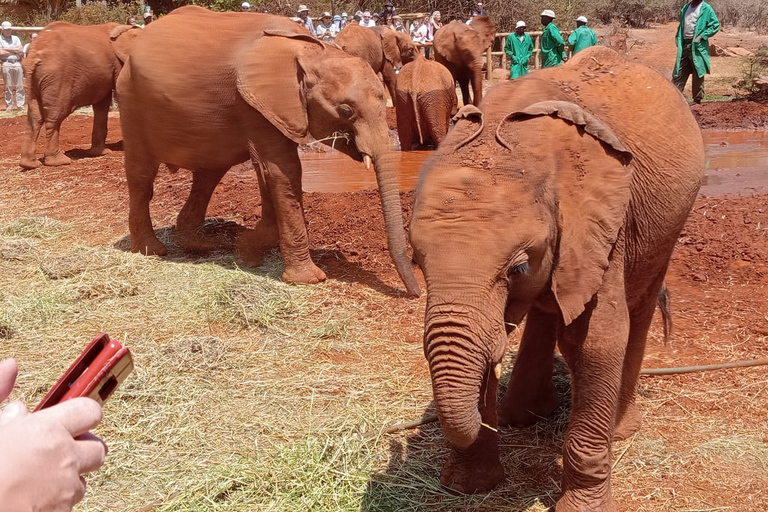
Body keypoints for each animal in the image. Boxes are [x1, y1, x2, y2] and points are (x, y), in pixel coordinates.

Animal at [19, 22, 142, 170]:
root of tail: (34, 54)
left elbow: (102, 105)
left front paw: (101, 153)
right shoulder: (120, 64)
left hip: (31, 80)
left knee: (34, 116)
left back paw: (29, 164)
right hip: (57, 77)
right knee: (55, 116)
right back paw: (59, 161)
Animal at [118, 7, 424, 296]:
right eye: (346, 111)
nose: (415, 293)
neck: (311, 52)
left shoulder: (270, 108)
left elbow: (271, 173)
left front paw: (245, 252)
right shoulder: (255, 104)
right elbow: (283, 172)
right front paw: (306, 278)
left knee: (208, 174)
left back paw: (203, 244)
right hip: (131, 100)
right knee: (142, 177)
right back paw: (152, 250)